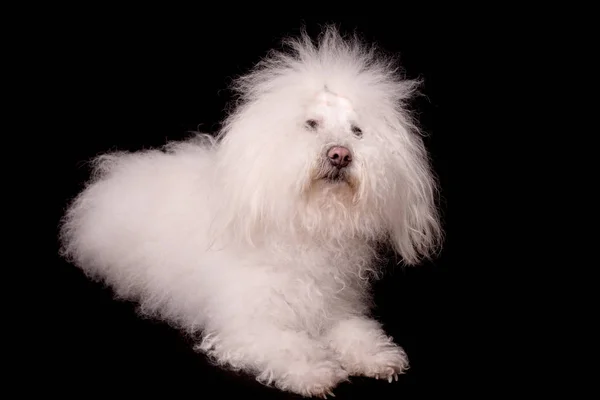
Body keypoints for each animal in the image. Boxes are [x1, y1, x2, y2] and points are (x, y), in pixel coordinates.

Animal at [61, 26, 442, 398]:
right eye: (311, 124)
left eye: (357, 131)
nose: (340, 154)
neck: (308, 230)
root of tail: (118, 168)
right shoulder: (249, 326)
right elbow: (288, 346)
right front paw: (315, 373)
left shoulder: (337, 310)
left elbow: (357, 332)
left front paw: (378, 357)